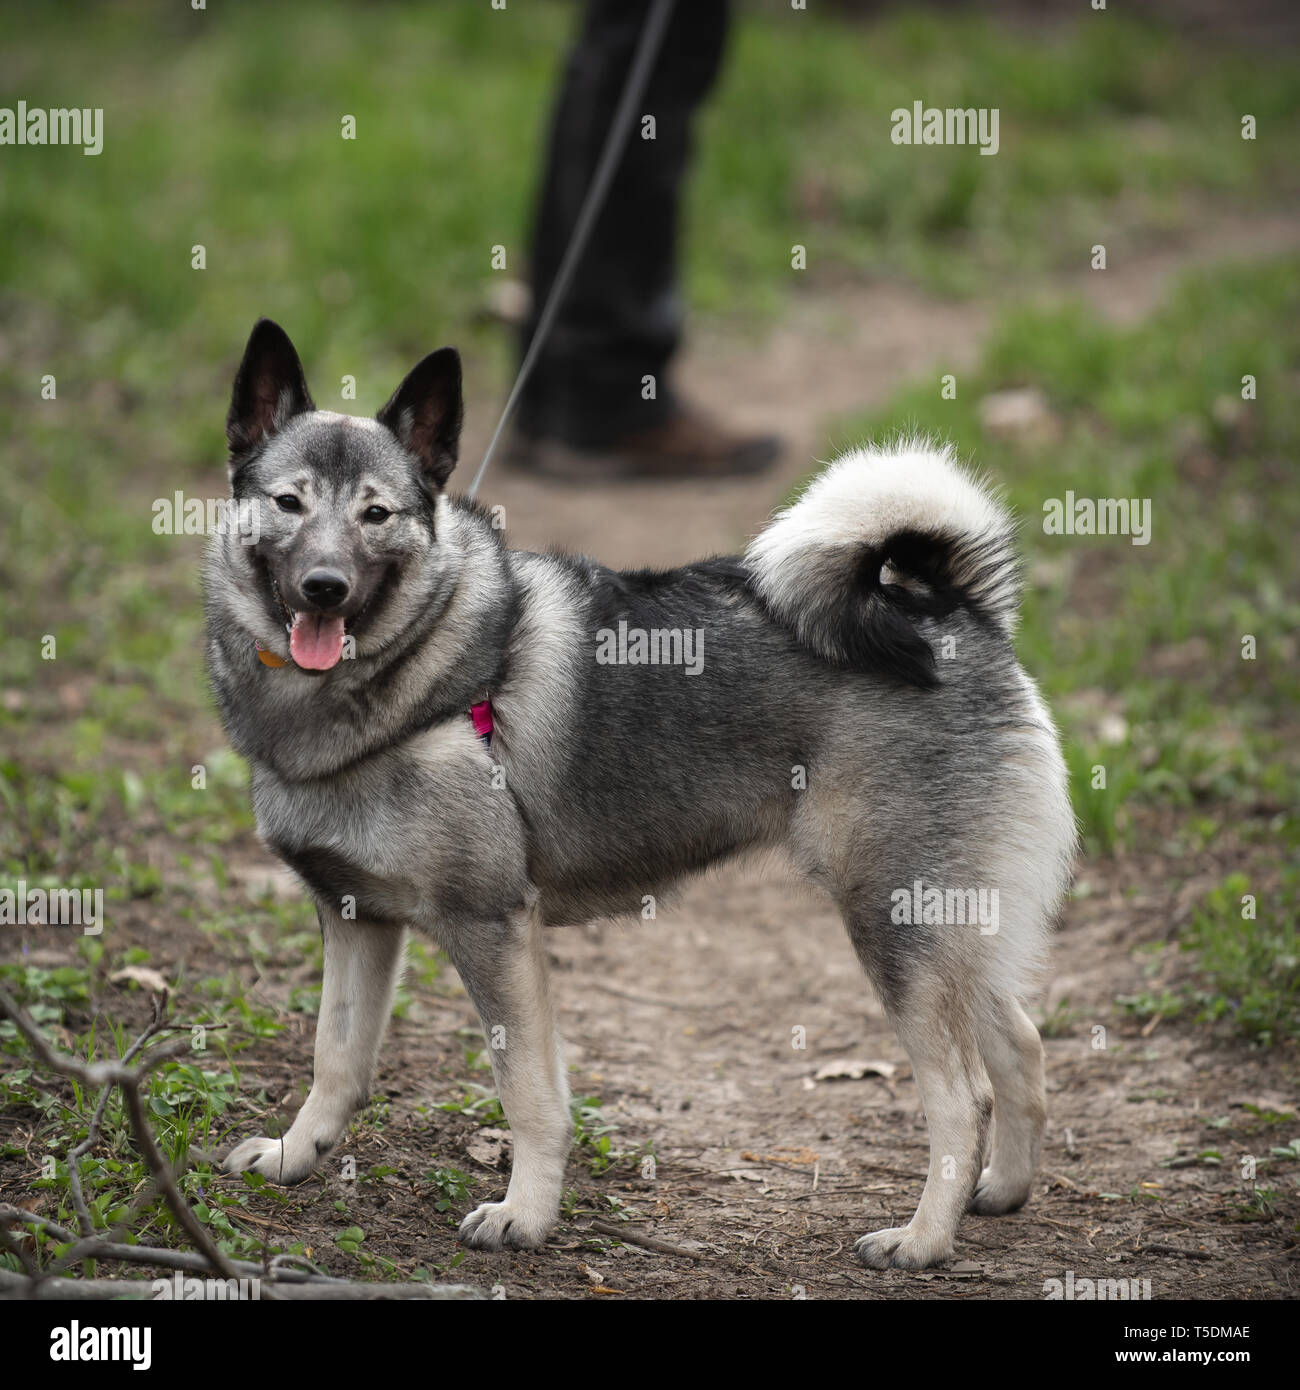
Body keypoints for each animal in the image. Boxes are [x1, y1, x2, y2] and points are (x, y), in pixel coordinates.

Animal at [208, 318, 1073, 1273]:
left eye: (376, 515)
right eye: (289, 504)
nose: (323, 586)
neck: (416, 675)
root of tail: (955, 611)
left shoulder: (492, 927)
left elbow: (529, 1093)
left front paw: (525, 1215)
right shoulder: (356, 918)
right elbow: (336, 1060)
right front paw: (295, 1156)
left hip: (895, 924)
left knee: (961, 1095)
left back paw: (922, 1239)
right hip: (953, 930)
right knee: (1022, 1048)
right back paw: (1000, 1191)